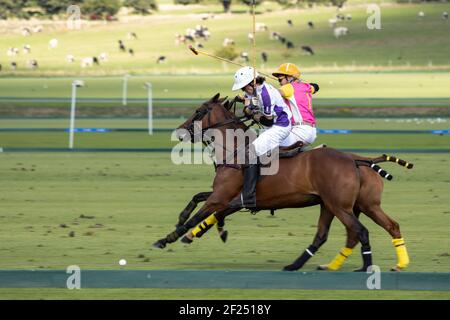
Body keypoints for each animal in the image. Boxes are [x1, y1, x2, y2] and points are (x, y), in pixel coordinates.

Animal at [154, 93, 412, 272]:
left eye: (199, 111)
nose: (179, 132)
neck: (235, 150)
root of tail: (356, 160)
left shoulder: (221, 197)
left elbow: (198, 216)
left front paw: (168, 238)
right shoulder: (224, 196)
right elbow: (197, 199)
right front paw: (185, 226)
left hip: (340, 206)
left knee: (359, 231)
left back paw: (363, 267)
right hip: (355, 205)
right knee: (374, 228)